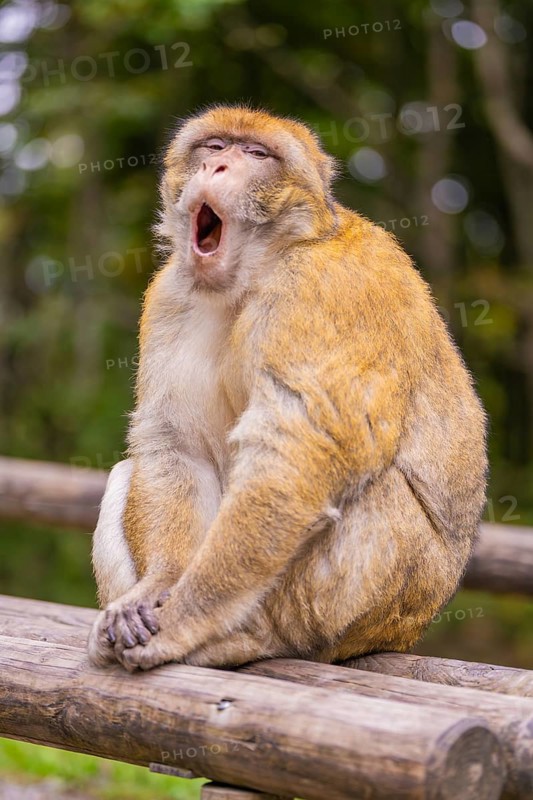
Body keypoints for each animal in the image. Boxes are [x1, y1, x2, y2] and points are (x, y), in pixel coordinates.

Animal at [88, 104, 487, 672]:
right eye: (214, 147)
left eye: (256, 154)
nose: (217, 168)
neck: (264, 265)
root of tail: (407, 633)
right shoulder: (170, 295)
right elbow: (176, 445)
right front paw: (156, 588)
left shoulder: (321, 288)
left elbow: (297, 447)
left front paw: (184, 617)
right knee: (129, 471)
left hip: (375, 612)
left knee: (376, 488)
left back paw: (254, 637)